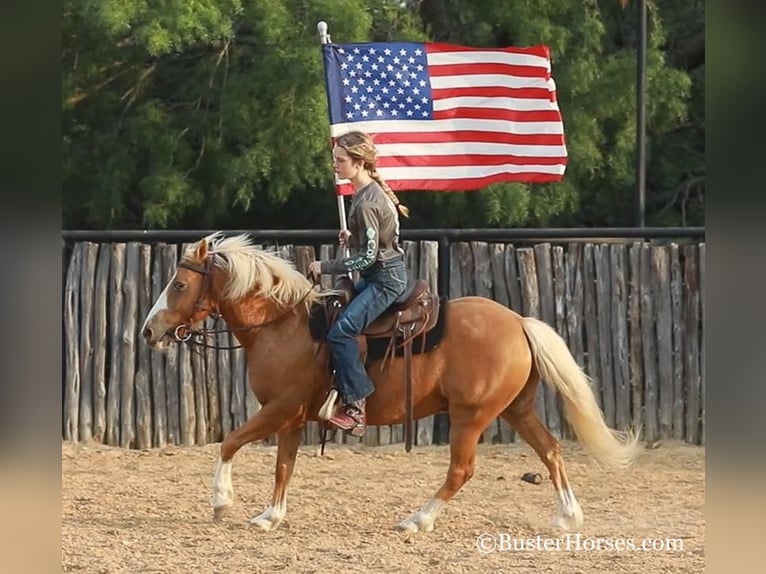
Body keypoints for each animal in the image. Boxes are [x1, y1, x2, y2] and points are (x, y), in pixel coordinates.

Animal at [141, 233, 640, 536]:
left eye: (179, 284)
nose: (149, 330)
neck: (283, 325)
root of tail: (519, 322)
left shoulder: (279, 410)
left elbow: (229, 442)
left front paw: (222, 502)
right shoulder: (293, 419)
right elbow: (284, 467)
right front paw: (270, 515)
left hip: (470, 416)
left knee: (461, 470)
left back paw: (416, 520)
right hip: (516, 409)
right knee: (551, 450)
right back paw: (567, 516)